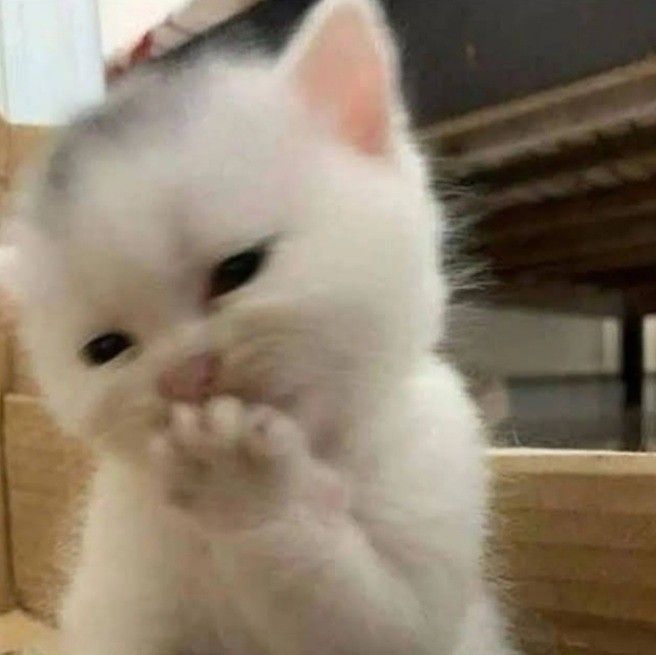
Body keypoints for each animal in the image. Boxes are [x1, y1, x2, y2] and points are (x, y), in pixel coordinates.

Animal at [5, 1, 516, 655]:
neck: (318, 449)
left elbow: (368, 618)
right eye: (105, 348)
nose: (185, 375)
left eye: (238, 269)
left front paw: (245, 486)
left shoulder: (435, 477)